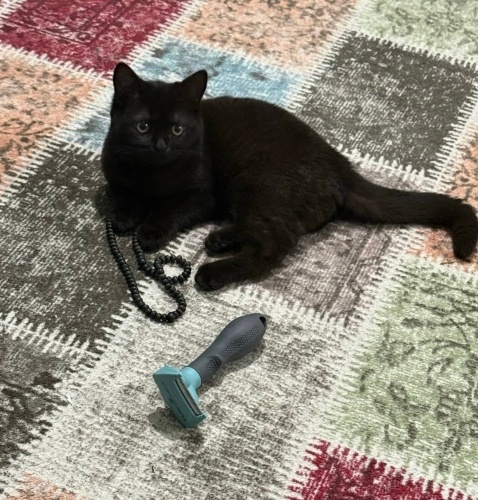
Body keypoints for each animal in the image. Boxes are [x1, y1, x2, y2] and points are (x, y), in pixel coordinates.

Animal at [101, 62, 478, 291]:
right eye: (142, 126)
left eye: (178, 129)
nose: (161, 145)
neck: (153, 176)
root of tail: (340, 164)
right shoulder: (114, 166)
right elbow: (118, 191)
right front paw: (124, 215)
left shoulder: (201, 193)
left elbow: (171, 208)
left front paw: (148, 232)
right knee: (274, 229)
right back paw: (220, 239)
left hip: (258, 182)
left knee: (276, 242)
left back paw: (213, 271)